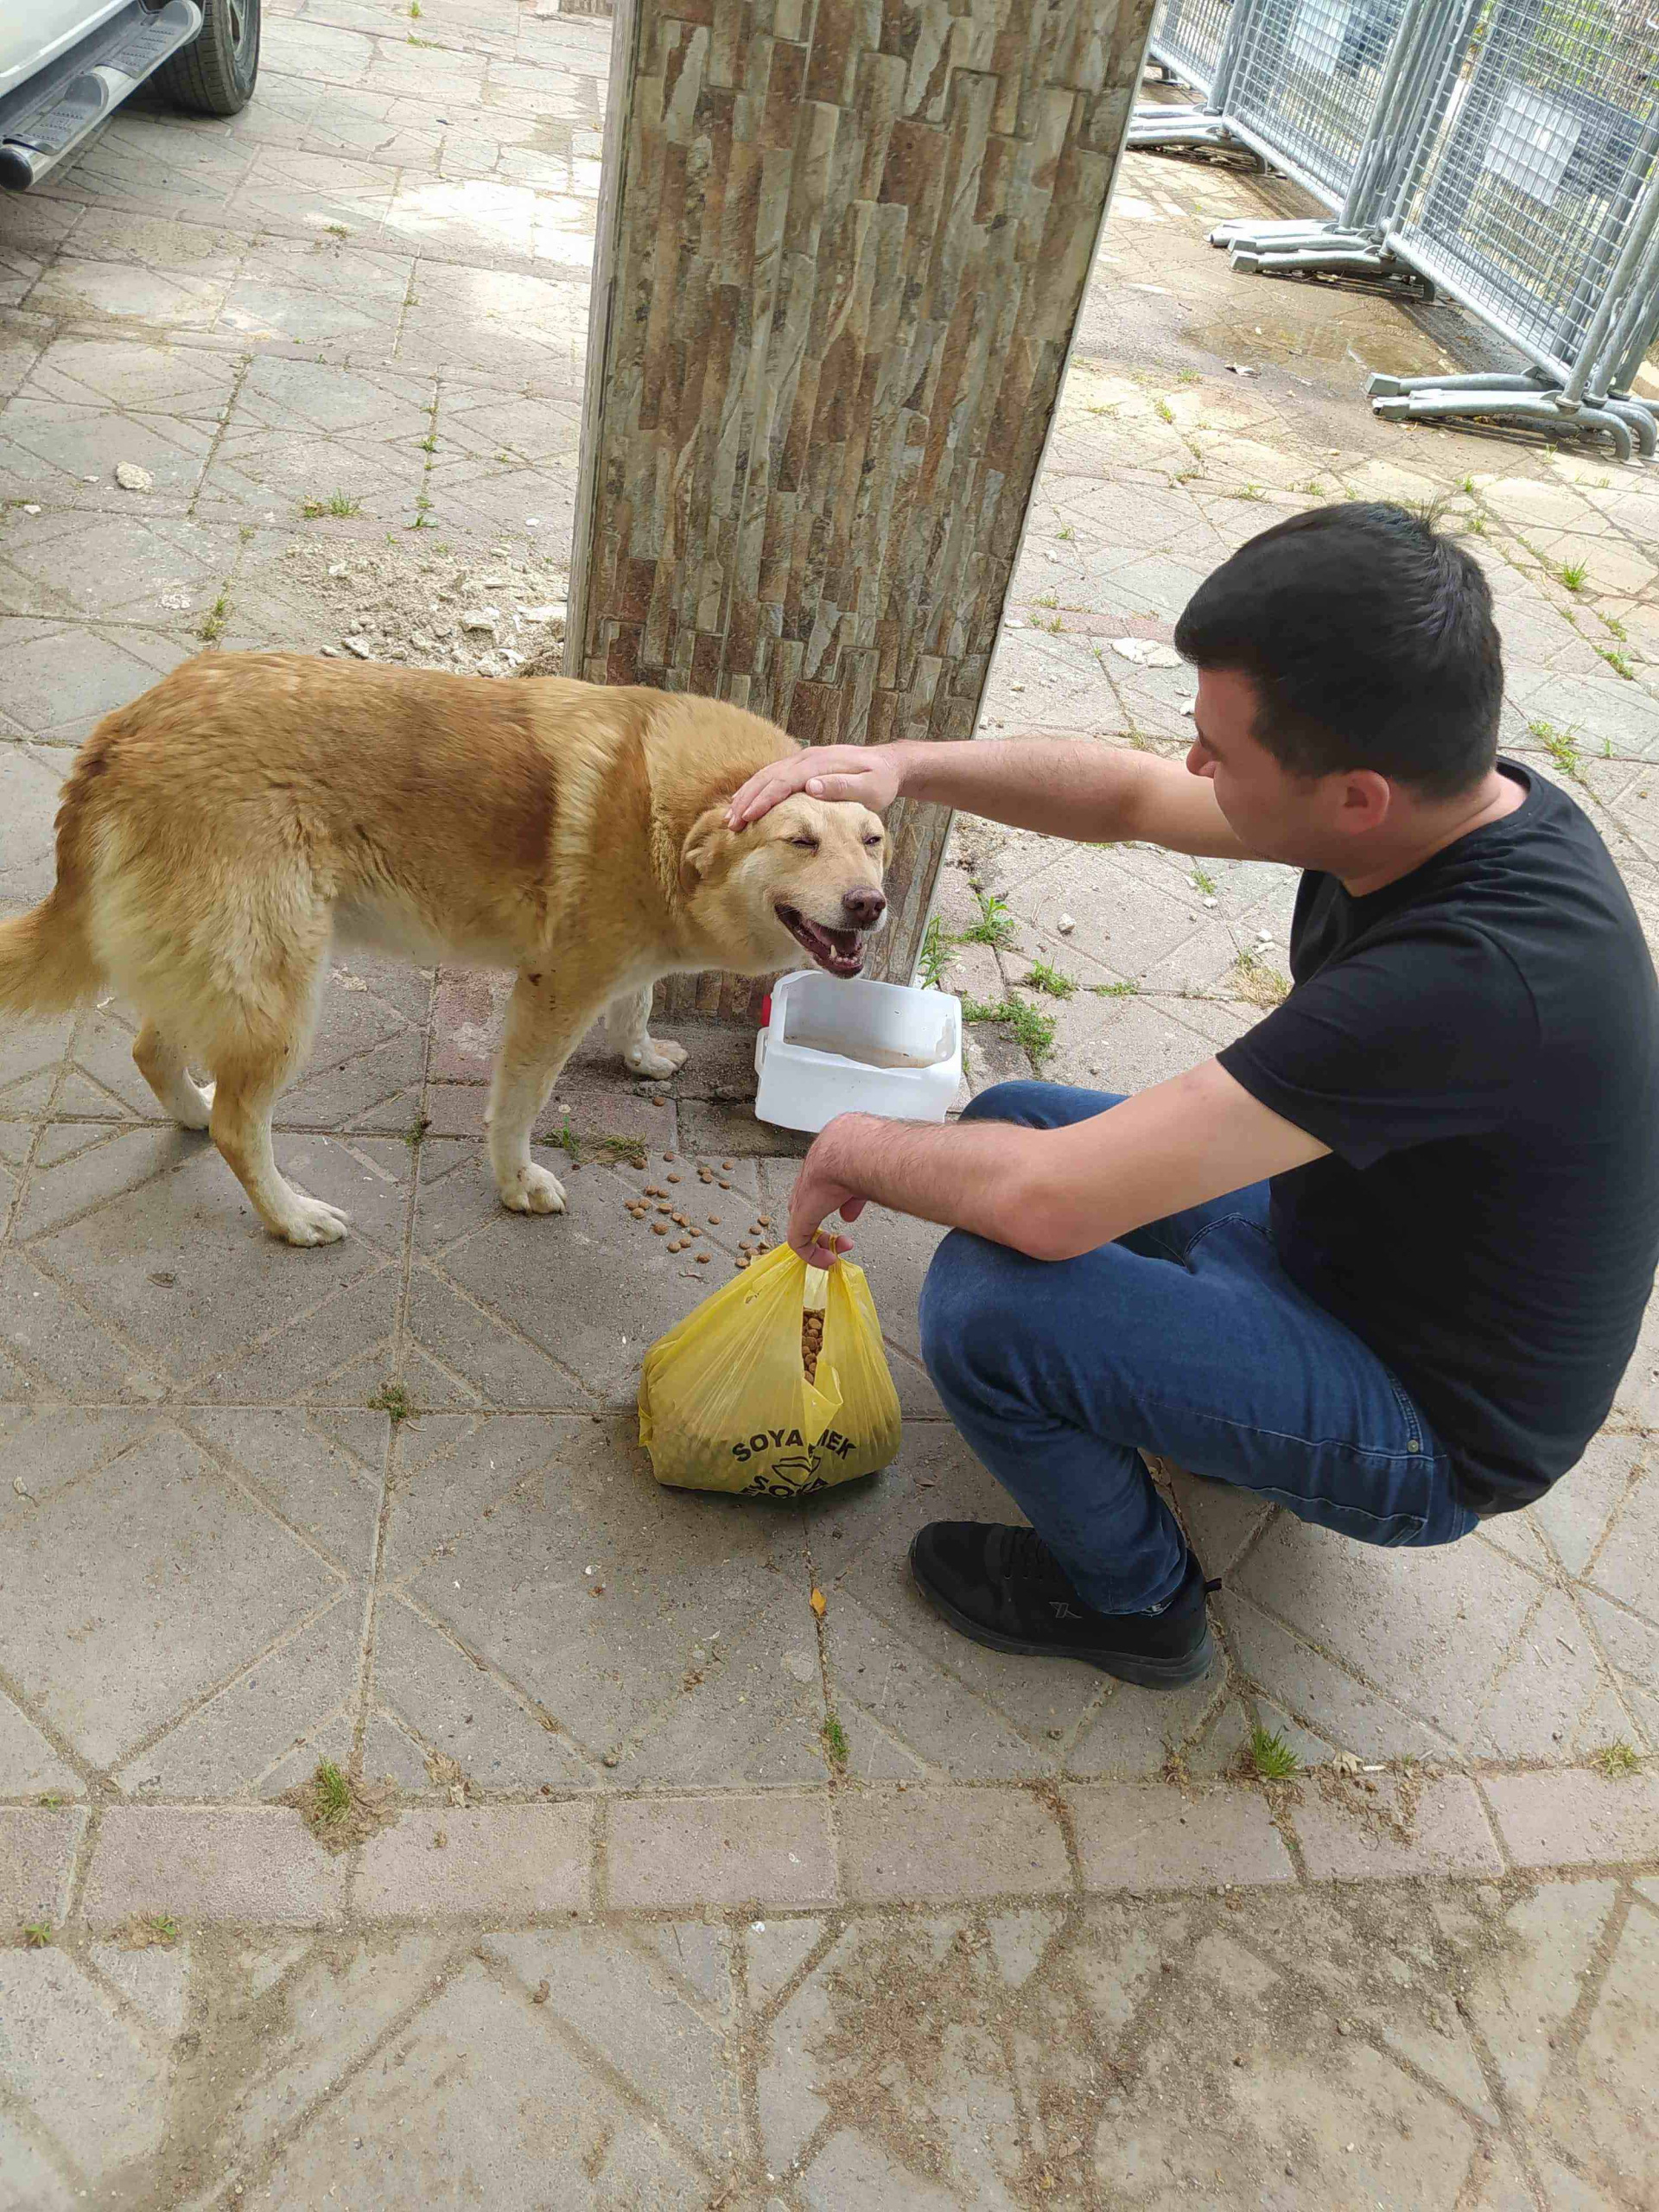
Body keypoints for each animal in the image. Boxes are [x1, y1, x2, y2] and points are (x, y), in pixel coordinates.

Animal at [0, 650, 889, 1247]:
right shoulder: (555, 991)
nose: (870, 905)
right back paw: (290, 1216)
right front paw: (515, 1183)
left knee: (156, 1055)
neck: (666, 812)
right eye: (801, 841)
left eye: (874, 840)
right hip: (279, 995)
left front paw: (640, 1056)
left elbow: (634, 1009)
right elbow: (519, 1104)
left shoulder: (619, 970)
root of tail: (122, 732)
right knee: (237, 1126)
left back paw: (187, 1112)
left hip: (221, 973)